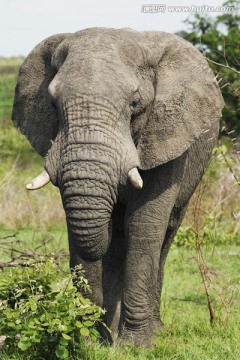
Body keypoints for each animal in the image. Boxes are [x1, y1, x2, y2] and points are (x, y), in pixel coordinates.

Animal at [11, 28, 225, 346]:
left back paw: (154, 329)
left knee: (165, 233)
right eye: (52, 104)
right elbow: (85, 233)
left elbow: (143, 225)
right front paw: (89, 341)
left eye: (135, 104)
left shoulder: (166, 136)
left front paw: (136, 345)